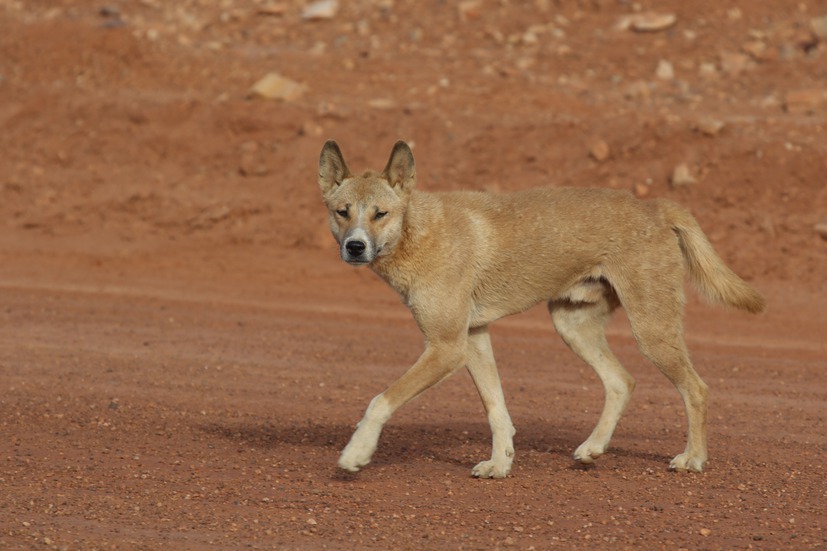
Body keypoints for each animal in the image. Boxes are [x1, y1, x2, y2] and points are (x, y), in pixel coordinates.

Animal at [320, 139, 768, 478]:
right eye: (342, 212)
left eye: (381, 214)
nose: (355, 246)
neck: (417, 232)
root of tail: (656, 206)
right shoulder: (472, 338)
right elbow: (496, 408)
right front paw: (500, 464)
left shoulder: (446, 346)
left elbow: (380, 400)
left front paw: (356, 453)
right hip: (573, 323)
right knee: (622, 381)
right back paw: (593, 448)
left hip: (651, 328)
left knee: (696, 388)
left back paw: (693, 458)